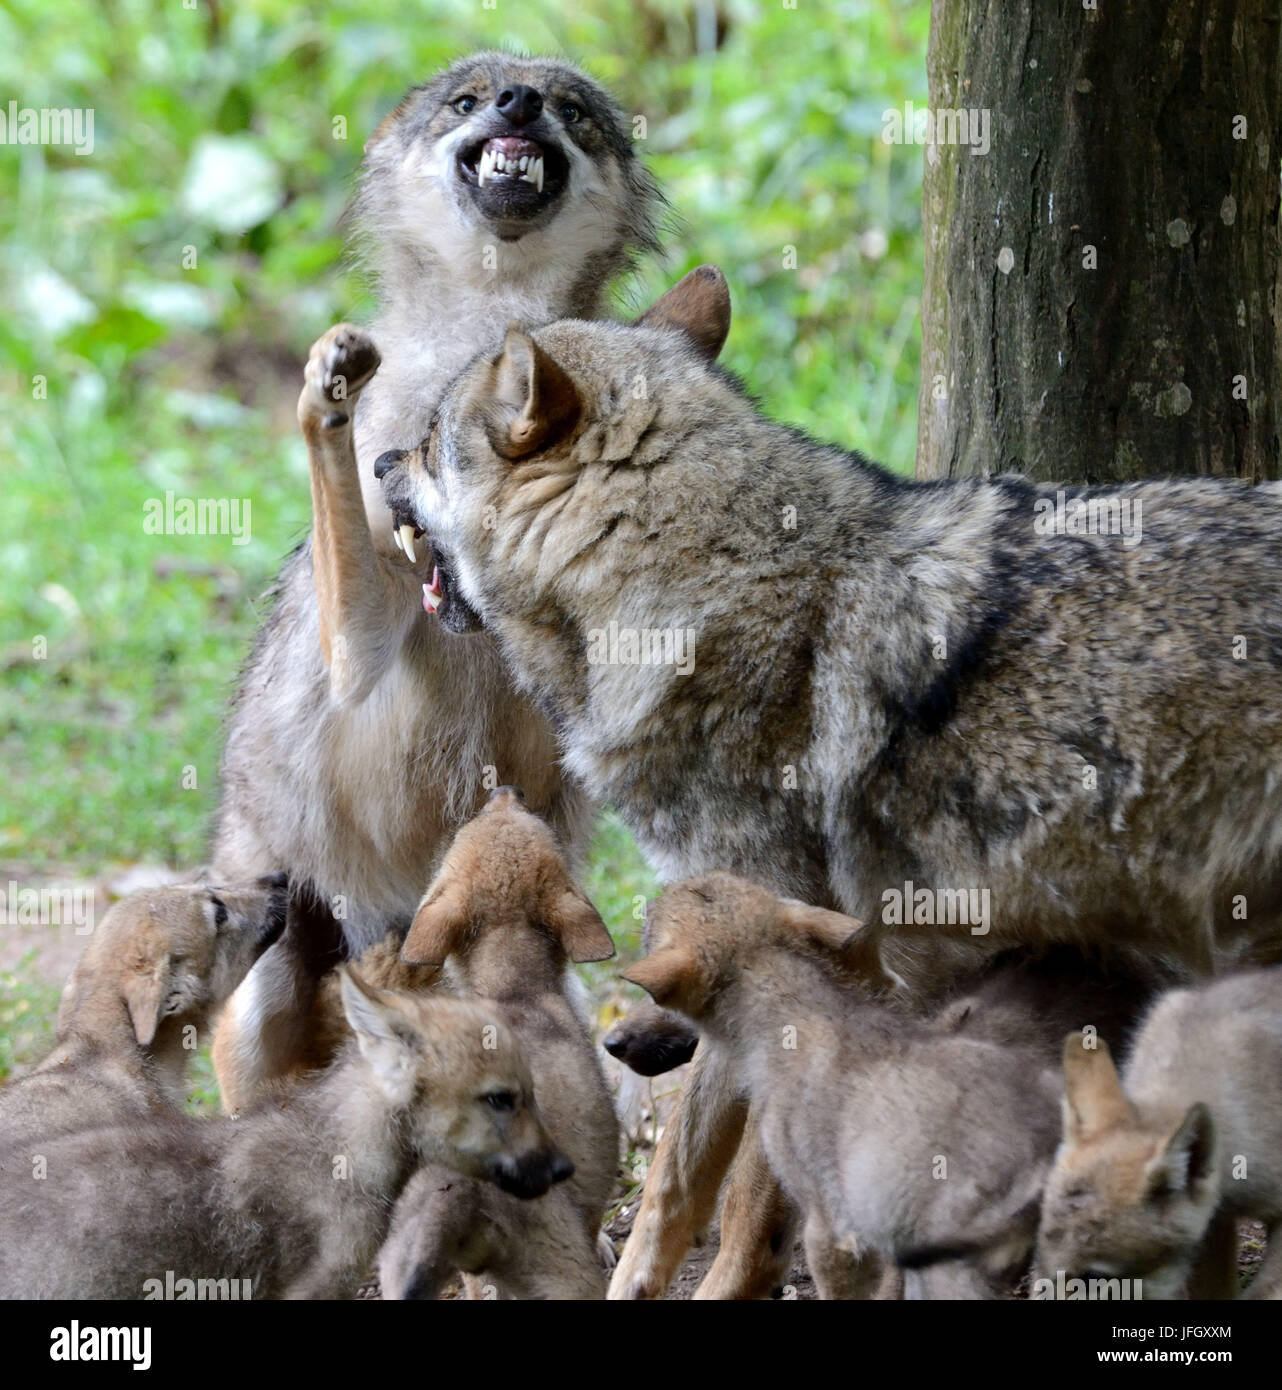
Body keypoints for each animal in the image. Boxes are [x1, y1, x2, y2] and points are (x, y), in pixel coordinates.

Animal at [209, 54, 661, 1112]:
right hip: (268, 973)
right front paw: (330, 391)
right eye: (469, 101)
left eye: (570, 109)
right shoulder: (355, 649)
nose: (519, 103)